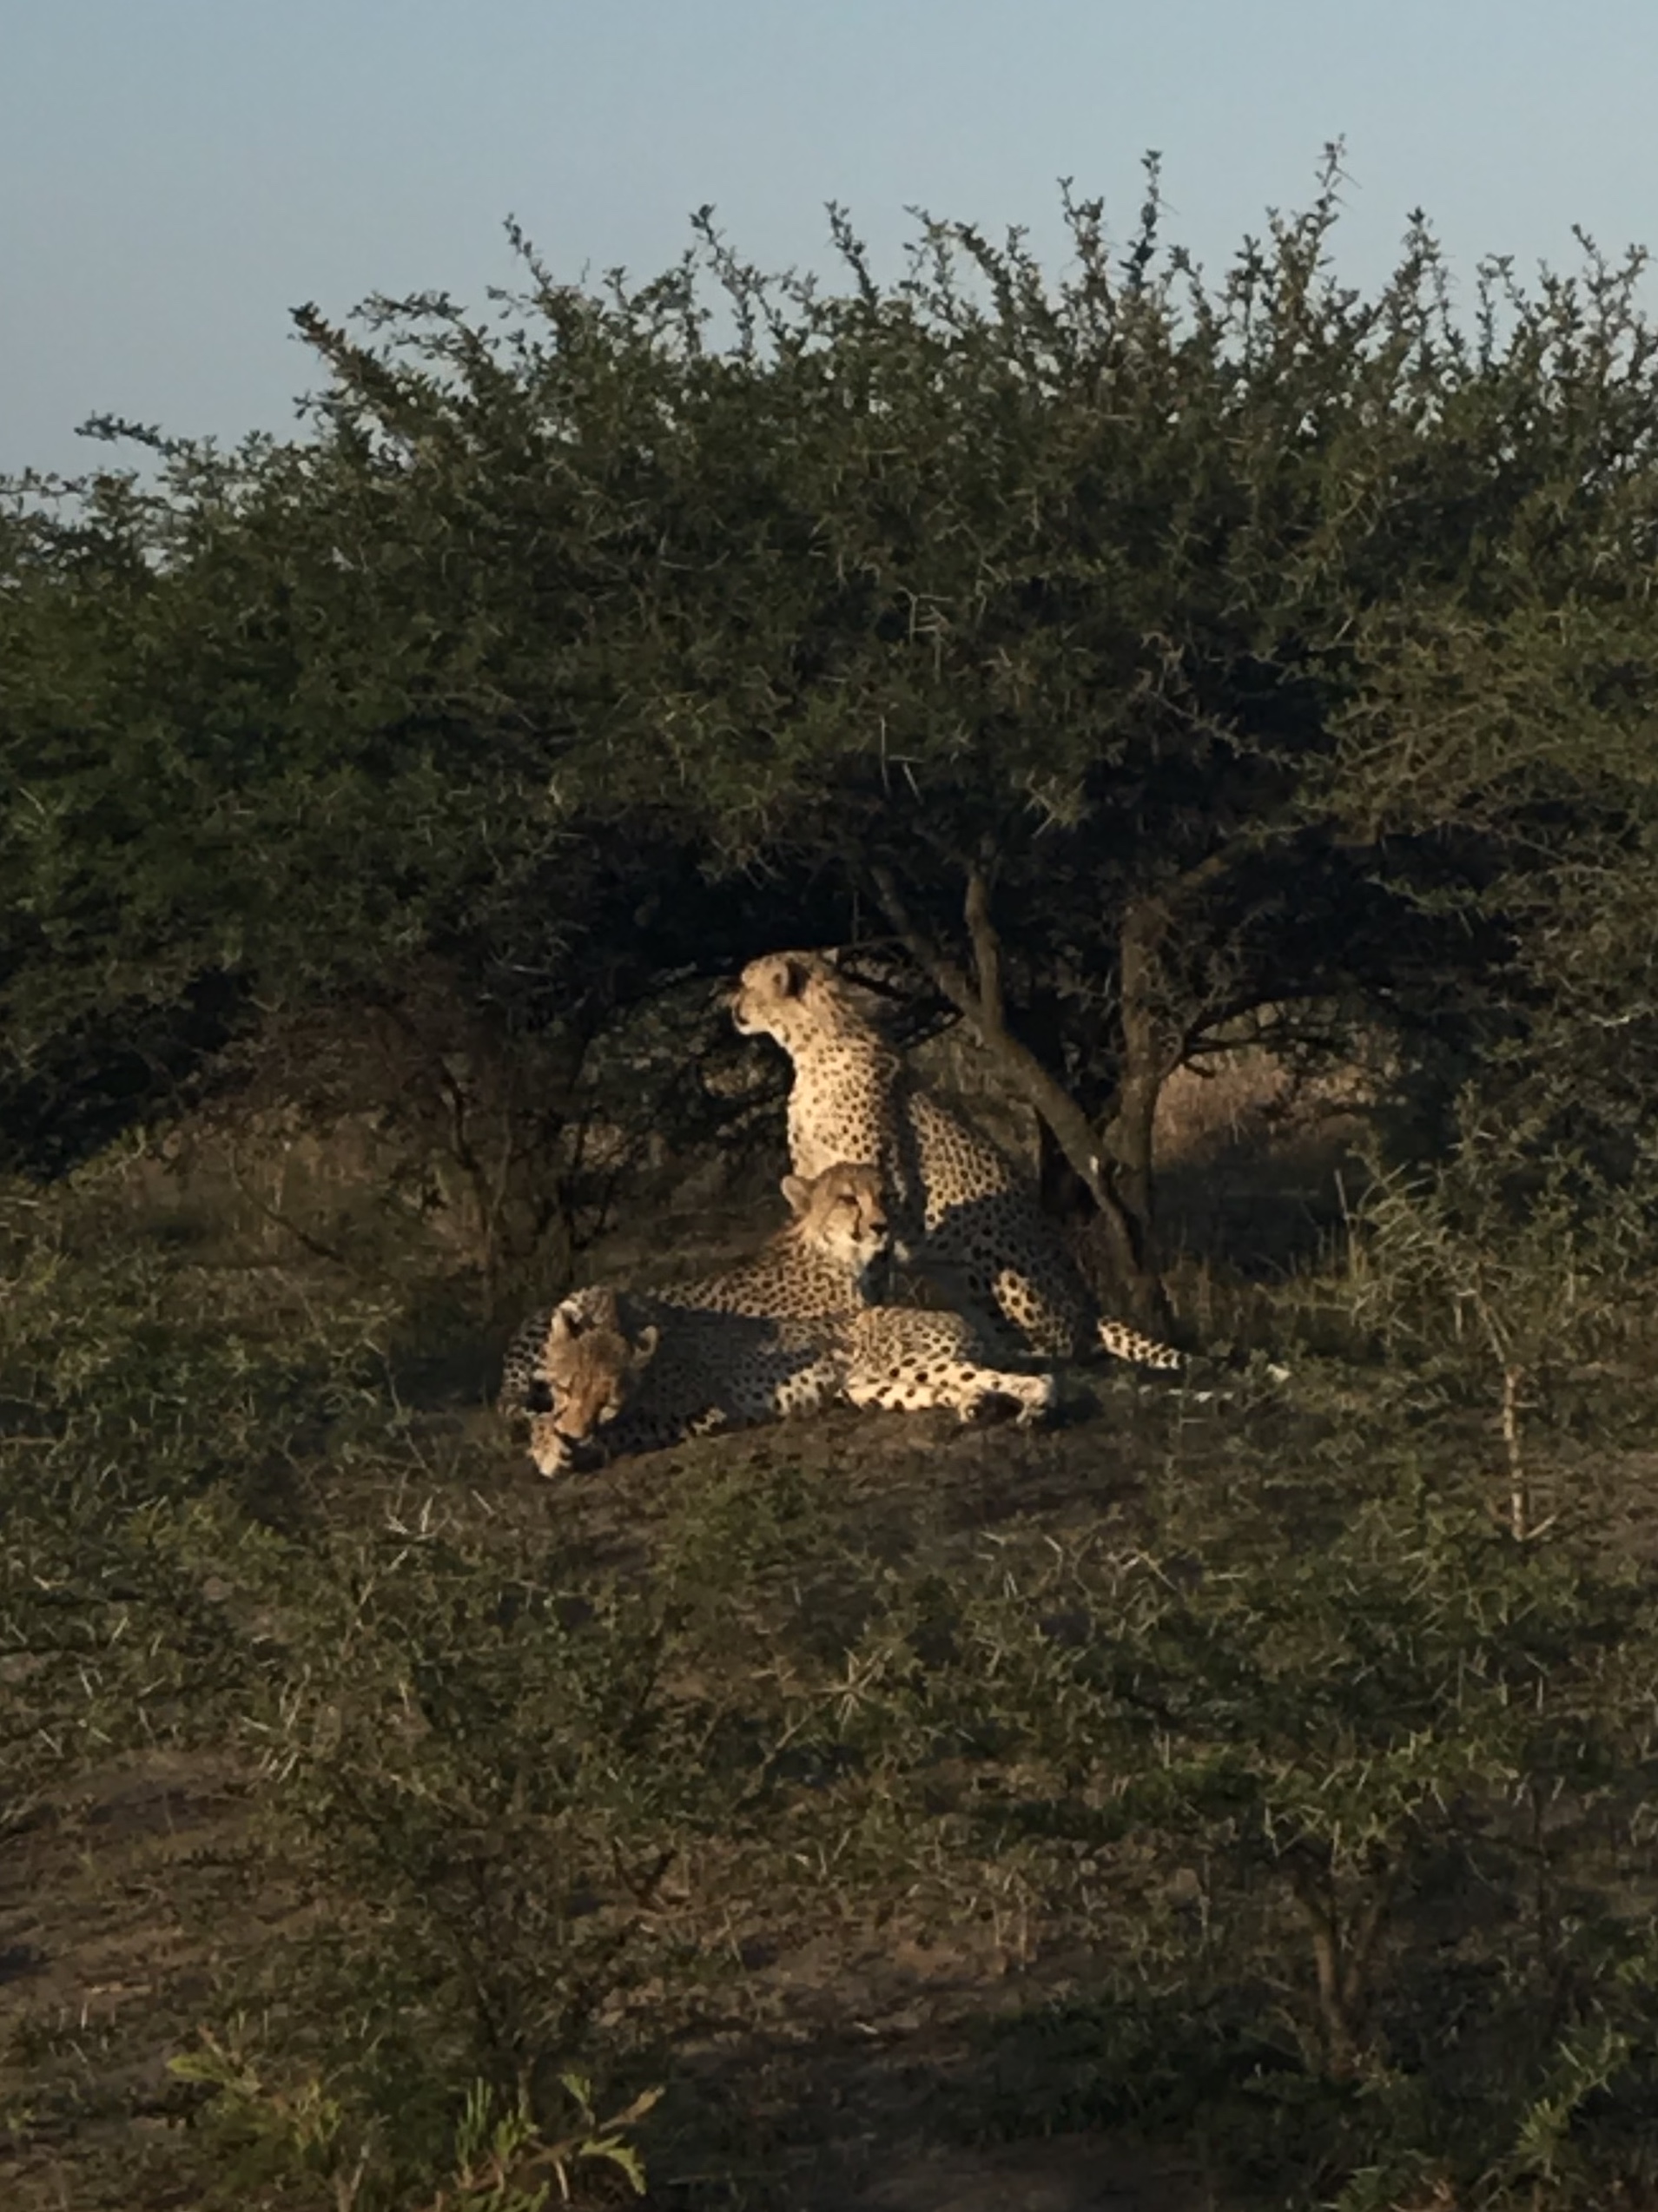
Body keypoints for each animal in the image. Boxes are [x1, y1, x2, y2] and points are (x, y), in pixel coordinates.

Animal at [729, 949, 1185, 1370]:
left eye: (747, 984)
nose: (732, 1007)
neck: (811, 1046)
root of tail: (1089, 1303)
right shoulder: (814, 1175)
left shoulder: (877, 1185)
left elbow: (870, 1257)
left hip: (994, 1261)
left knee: (1069, 1347)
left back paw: (1027, 1354)